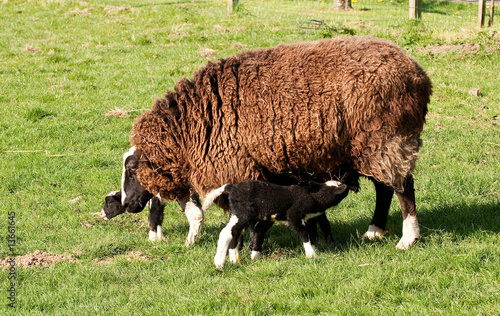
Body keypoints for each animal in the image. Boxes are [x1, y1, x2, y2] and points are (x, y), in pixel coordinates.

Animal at [127, 37, 432, 249]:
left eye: (131, 169)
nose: (129, 204)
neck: (192, 126)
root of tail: (418, 74)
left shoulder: (235, 168)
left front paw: (242, 246)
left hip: (386, 138)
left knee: (403, 188)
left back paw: (408, 238)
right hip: (369, 145)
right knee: (385, 188)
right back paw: (374, 231)